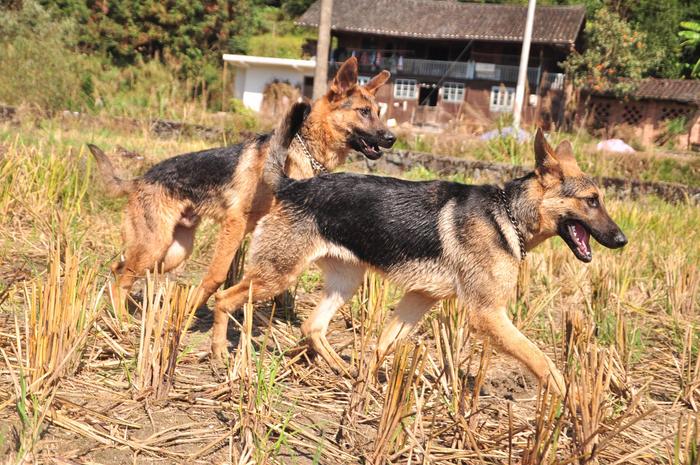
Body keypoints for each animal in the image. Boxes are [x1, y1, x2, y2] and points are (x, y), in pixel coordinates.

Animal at [86, 57, 394, 312]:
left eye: (378, 111)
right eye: (364, 112)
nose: (391, 138)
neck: (302, 149)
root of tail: (139, 179)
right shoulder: (235, 222)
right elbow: (216, 276)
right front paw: (190, 314)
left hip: (171, 252)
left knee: (118, 267)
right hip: (155, 246)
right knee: (123, 276)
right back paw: (120, 321)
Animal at [213, 109, 628, 392]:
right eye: (592, 201)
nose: (622, 240)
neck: (506, 215)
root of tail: (291, 186)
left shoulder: (419, 298)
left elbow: (382, 346)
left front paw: (366, 387)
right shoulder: (487, 315)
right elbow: (540, 359)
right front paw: (568, 398)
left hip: (347, 282)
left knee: (312, 327)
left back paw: (341, 371)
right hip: (275, 276)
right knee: (223, 299)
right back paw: (221, 357)